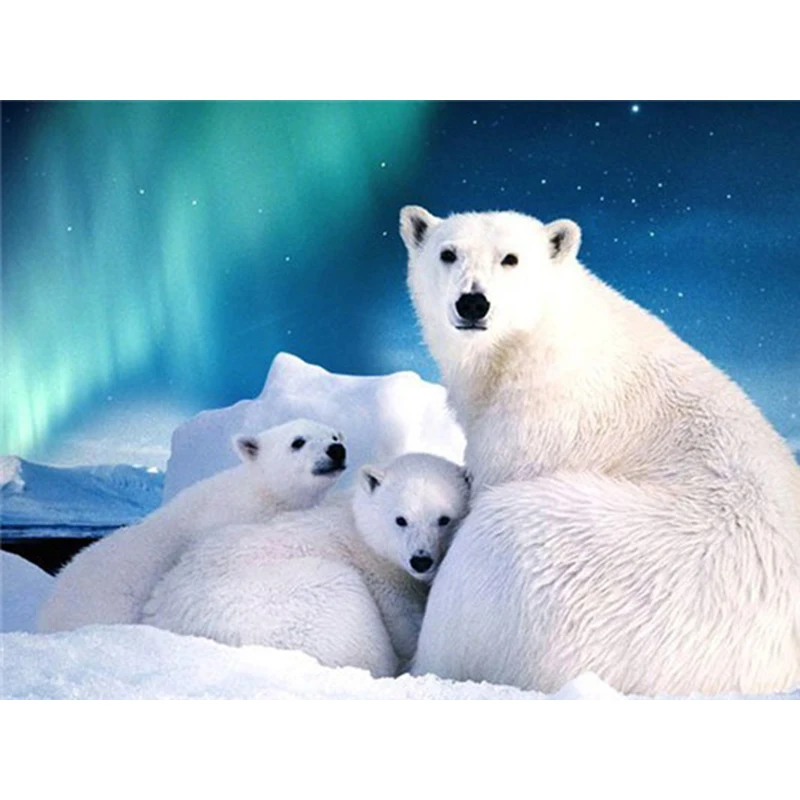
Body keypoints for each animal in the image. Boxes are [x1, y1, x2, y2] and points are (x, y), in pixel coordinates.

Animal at [141, 453, 471, 678]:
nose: (421, 559)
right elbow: (404, 624)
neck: (362, 532)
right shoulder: (381, 578)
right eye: (401, 519)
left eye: (444, 518)